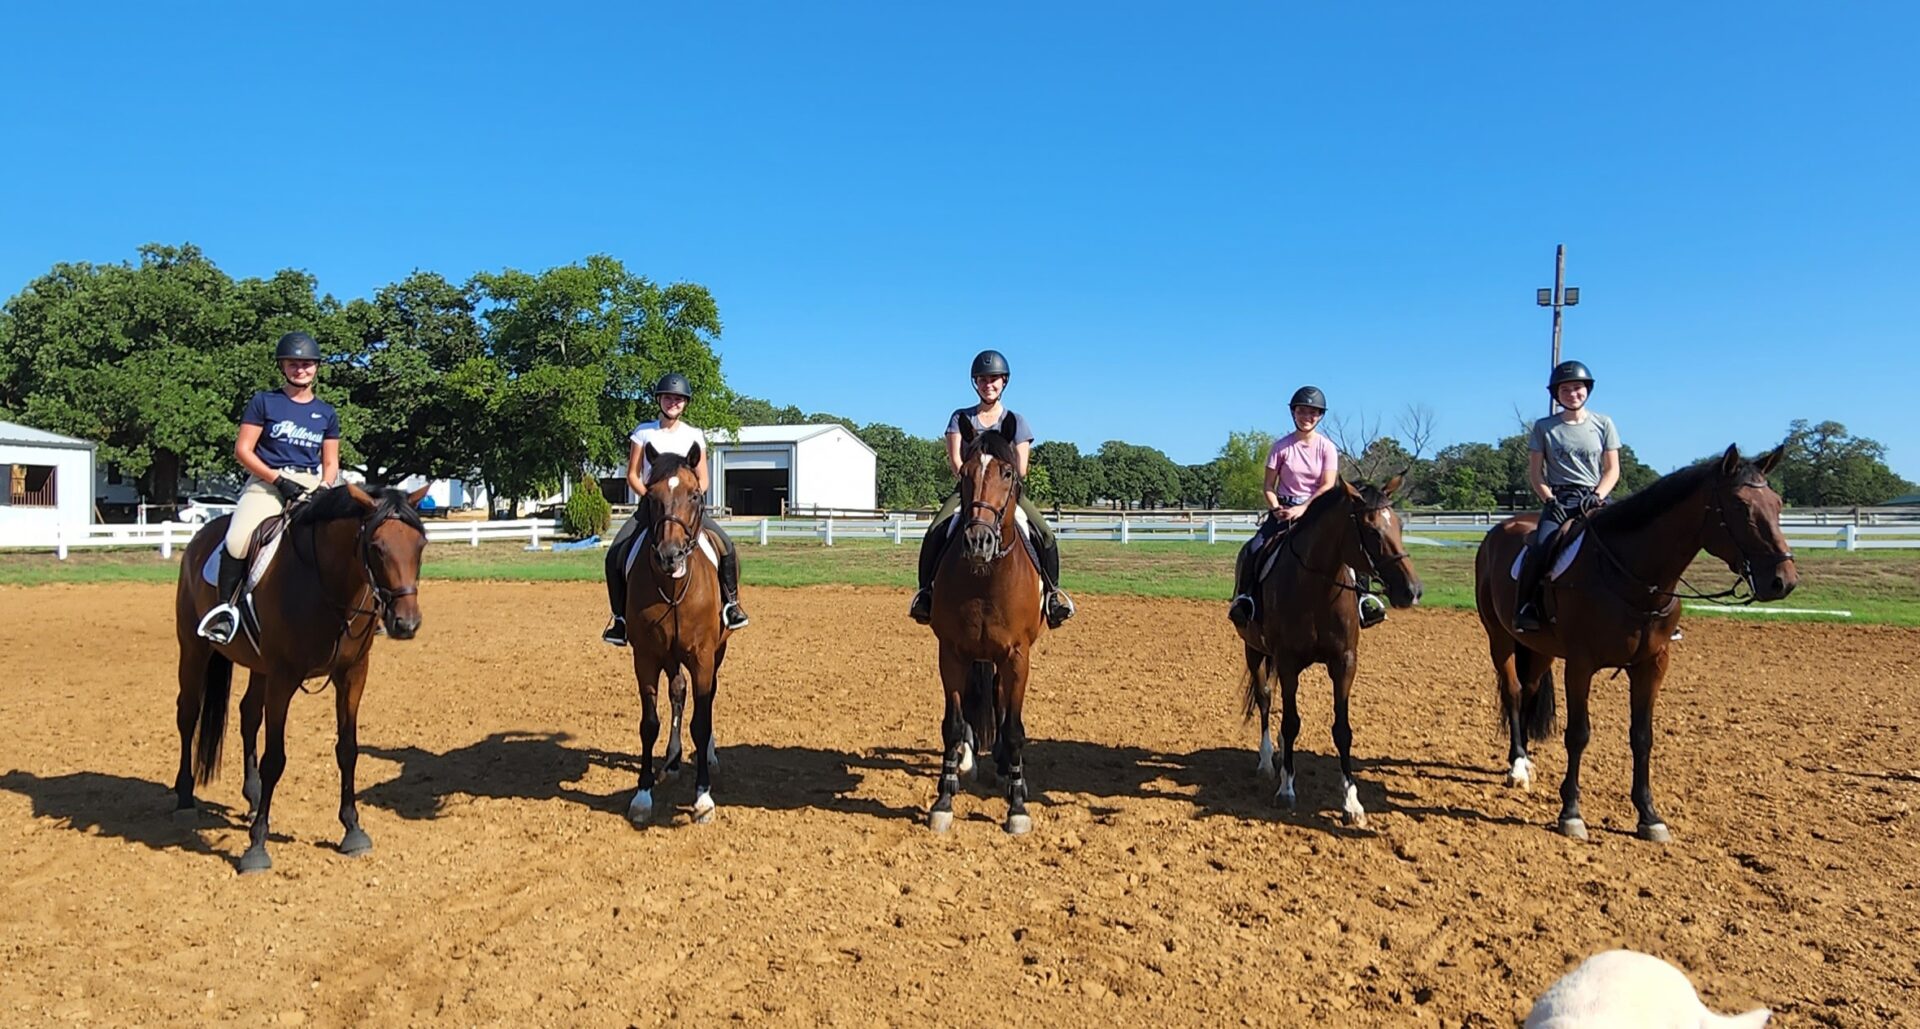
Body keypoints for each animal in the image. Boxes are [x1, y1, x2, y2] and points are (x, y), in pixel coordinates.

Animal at [171, 485, 428, 871]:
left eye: (420, 545)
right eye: (376, 547)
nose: (406, 624)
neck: (329, 587)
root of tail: (201, 537)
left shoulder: (352, 674)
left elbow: (348, 749)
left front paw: (352, 829)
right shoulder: (283, 678)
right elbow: (274, 759)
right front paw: (256, 847)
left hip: (258, 666)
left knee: (248, 716)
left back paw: (253, 798)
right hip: (194, 649)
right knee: (188, 715)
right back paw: (185, 796)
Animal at [622, 443, 733, 829]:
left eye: (696, 495)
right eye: (651, 496)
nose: (669, 556)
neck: (672, 587)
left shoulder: (702, 656)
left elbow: (701, 721)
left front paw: (703, 798)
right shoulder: (646, 657)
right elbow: (649, 723)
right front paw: (642, 795)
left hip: (716, 653)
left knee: (707, 696)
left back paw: (708, 756)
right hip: (670, 657)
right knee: (678, 693)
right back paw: (671, 761)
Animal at [929, 418, 1052, 837]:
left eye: (1008, 472)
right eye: (965, 473)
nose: (978, 540)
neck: (985, 579)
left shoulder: (1017, 656)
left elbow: (1013, 729)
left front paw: (1017, 806)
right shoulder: (951, 653)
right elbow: (952, 724)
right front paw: (944, 799)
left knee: (999, 701)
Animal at [1236, 476, 1420, 829]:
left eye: (1400, 525)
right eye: (1372, 530)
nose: (1412, 591)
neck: (1316, 587)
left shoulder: (1344, 662)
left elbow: (1342, 730)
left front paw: (1351, 801)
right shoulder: (1288, 662)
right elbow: (1290, 722)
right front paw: (1286, 789)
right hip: (1254, 650)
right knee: (1266, 699)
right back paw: (1267, 761)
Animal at [1482, 445, 1797, 840]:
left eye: (1778, 503)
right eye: (1740, 506)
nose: (1783, 580)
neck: (1632, 577)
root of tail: (1500, 529)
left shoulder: (1653, 664)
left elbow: (1642, 737)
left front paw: (1649, 815)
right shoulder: (1580, 664)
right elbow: (1578, 734)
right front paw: (1571, 813)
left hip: (1539, 650)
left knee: (1528, 691)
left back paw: (1523, 761)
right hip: (1500, 638)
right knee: (1512, 692)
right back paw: (1517, 767)